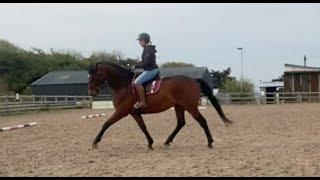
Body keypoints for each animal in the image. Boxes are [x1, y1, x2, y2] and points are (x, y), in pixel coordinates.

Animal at [87, 62, 232, 150]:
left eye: (93, 76)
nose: (91, 92)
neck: (124, 85)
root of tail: (193, 80)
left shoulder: (122, 111)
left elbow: (106, 124)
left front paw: (95, 142)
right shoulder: (134, 113)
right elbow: (143, 127)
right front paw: (150, 143)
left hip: (190, 107)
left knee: (202, 121)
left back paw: (210, 142)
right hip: (179, 106)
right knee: (181, 123)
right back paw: (167, 141)